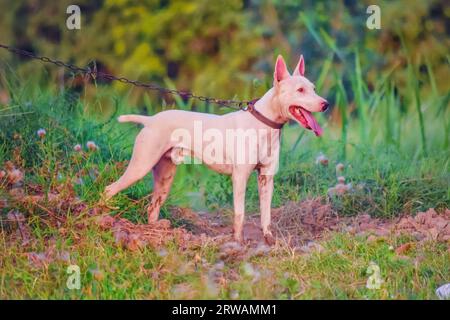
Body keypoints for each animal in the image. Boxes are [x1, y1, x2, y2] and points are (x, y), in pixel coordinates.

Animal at [106, 54, 330, 242]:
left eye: (314, 88)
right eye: (300, 90)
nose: (326, 104)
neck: (265, 123)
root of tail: (150, 120)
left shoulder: (267, 177)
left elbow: (266, 214)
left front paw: (269, 240)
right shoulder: (240, 177)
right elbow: (240, 213)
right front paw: (238, 242)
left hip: (165, 177)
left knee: (152, 206)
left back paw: (158, 231)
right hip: (141, 165)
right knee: (110, 189)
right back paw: (104, 216)